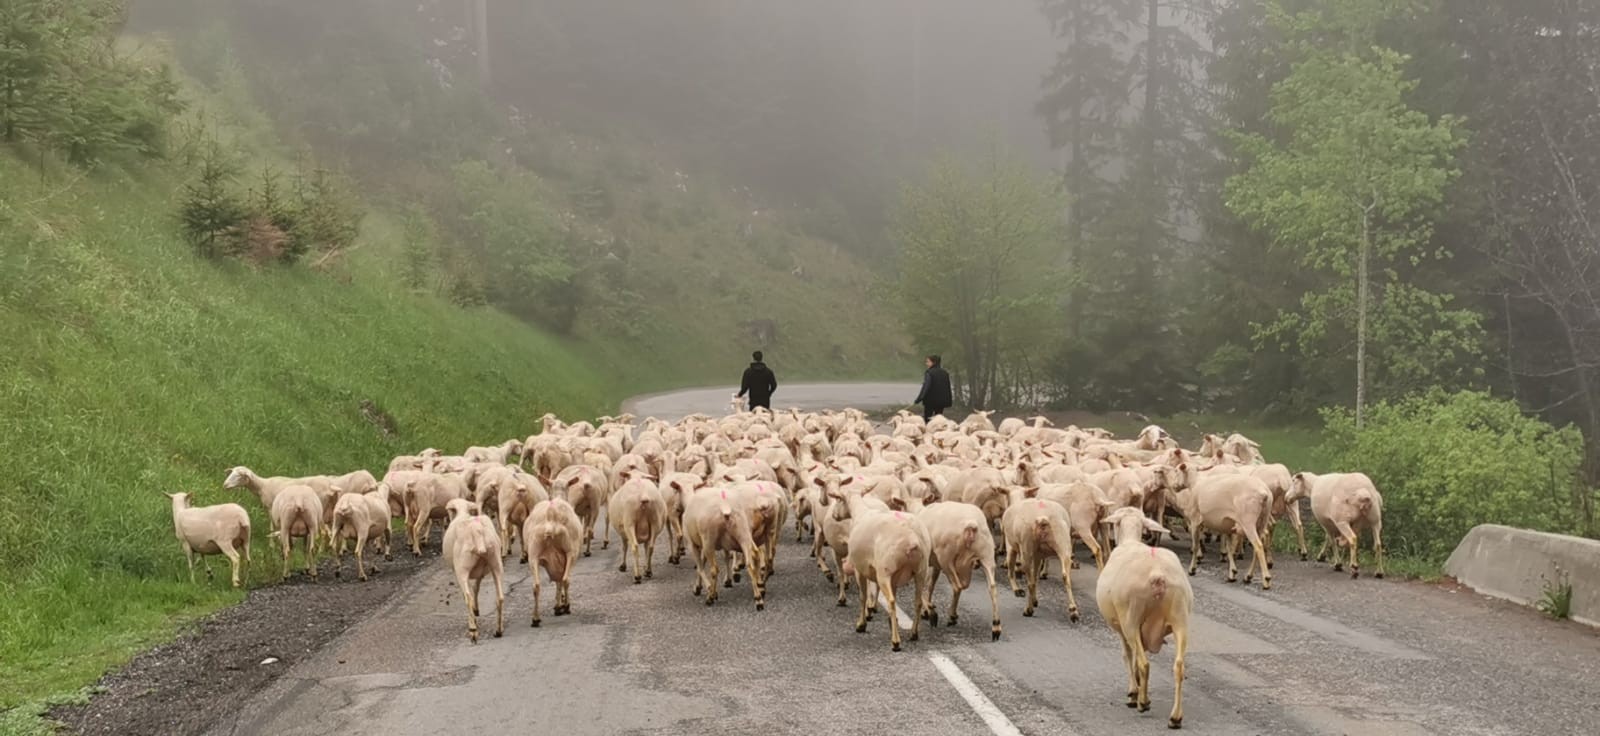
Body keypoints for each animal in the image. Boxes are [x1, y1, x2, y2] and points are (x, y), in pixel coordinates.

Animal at [441, 499, 502, 643]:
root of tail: (478, 531)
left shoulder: (460, 571)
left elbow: (468, 592)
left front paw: (474, 615)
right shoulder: (480, 571)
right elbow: (476, 587)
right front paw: (476, 610)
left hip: (461, 568)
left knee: (467, 597)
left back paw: (473, 630)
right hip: (496, 563)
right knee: (500, 597)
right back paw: (498, 630)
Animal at [521, 496, 585, 627]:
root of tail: (551, 517)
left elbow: (557, 581)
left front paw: (557, 606)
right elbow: (560, 581)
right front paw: (560, 606)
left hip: (533, 555)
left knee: (536, 585)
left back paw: (535, 619)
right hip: (571, 552)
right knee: (566, 579)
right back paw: (567, 606)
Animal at [844, 496, 934, 649]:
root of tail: (912, 539)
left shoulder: (859, 569)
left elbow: (862, 596)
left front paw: (861, 624)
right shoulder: (895, 578)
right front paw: (892, 622)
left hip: (884, 572)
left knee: (891, 601)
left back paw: (896, 642)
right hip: (920, 571)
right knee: (917, 602)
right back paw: (913, 633)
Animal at [915, 499, 998, 636]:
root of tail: (971, 524)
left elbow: (923, 586)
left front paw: (930, 611)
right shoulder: (937, 565)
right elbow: (931, 584)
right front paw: (927, 610)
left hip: (946, 557)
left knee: (957, 586)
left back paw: (950, 616)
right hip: (986, 554)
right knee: (991, 587)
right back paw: (996, 626)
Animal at [1094, 505, 1196, 729]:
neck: (1130, 540)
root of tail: (1157, 575)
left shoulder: (1122, 627)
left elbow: (1127, 656)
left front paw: (1133, 692)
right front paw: (1138, 687)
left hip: (1130, 617)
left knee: (1144, 663)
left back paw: (1143, 702)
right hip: (1180, 617)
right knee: (1179, 667)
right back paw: (1175, 717)